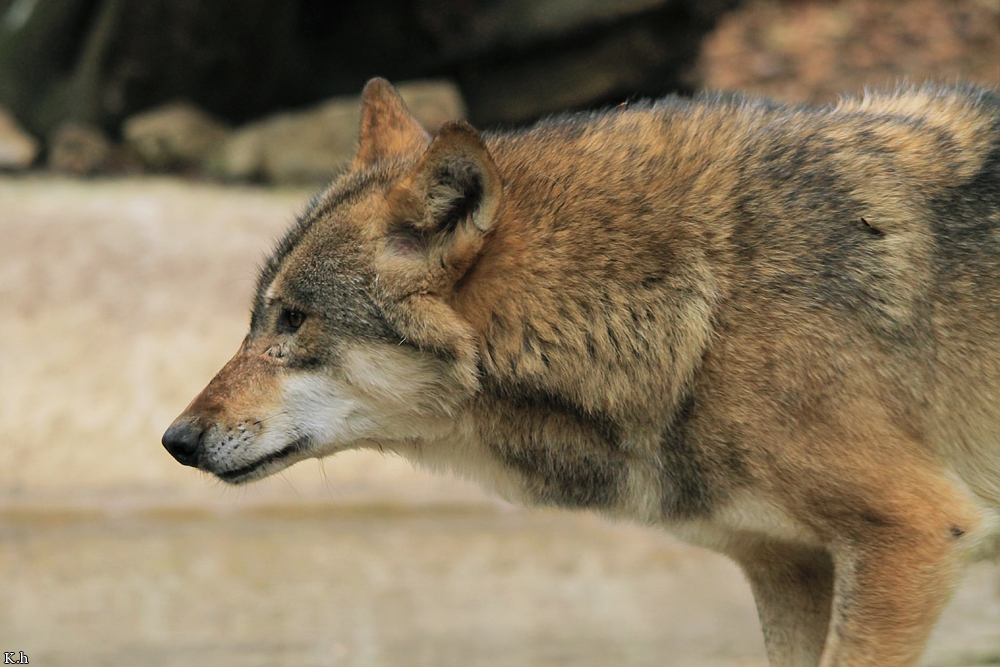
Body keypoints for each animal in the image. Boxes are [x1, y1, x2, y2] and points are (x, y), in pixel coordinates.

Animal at [163, 78, 1000, 666]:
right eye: (257, 316)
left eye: (293, 319)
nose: (176, 439)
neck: (704, 305)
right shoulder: (786, 566)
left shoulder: (912, 535)